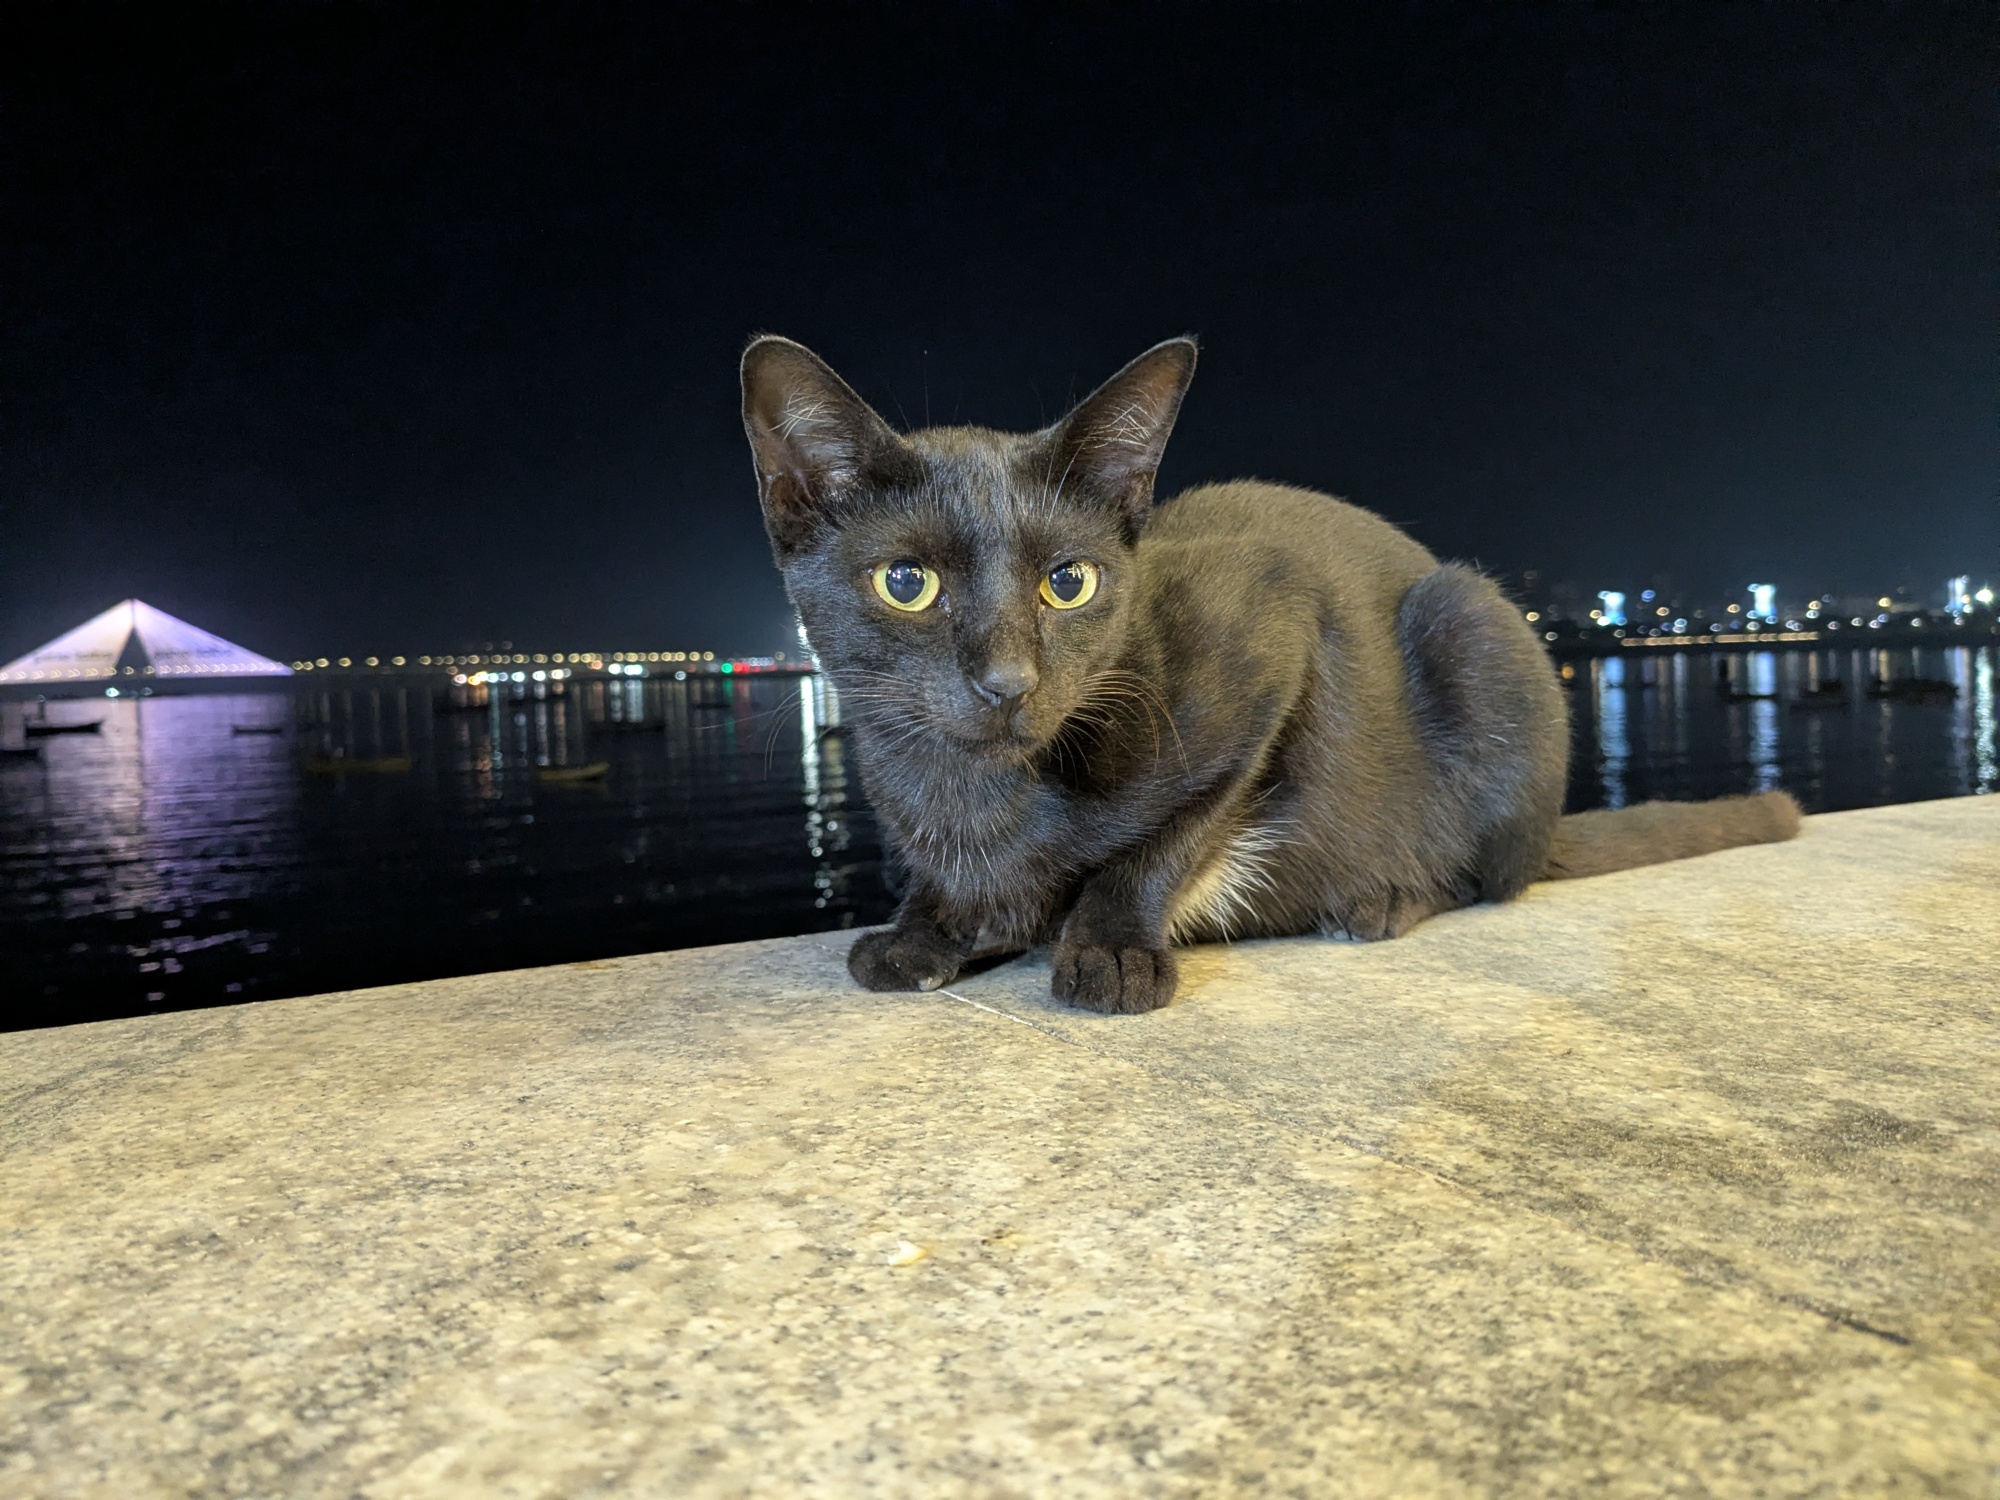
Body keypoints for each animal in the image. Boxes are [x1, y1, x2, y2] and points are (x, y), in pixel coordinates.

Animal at [740, 335, 1801, 1013]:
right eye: (906, 582)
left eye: (1069, 583)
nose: (1008, 683)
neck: (973, 792)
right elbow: (956, 890)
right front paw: (925, 932)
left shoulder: (1277, 629)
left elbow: (1170, 837)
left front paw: (1109, 948)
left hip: (1468, 621)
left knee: (1489, 877)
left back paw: (1382, 899)